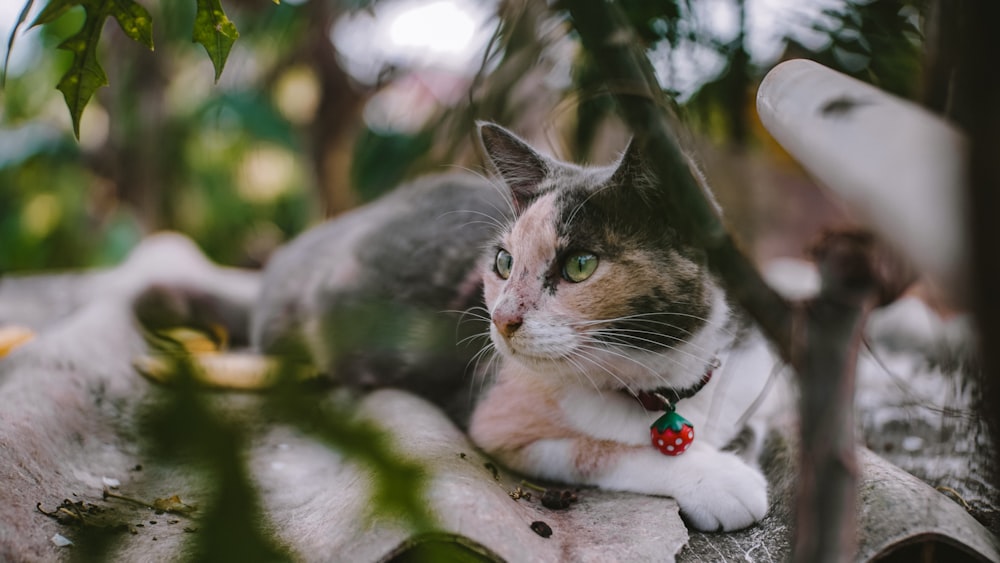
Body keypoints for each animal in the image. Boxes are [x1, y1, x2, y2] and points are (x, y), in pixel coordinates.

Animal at [464, 123, 776, 532]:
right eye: (504, 262)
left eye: (580, 265)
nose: (501, 319)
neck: (665, 385)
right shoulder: (497, 419)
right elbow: (595, 449)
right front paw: (719, 479)